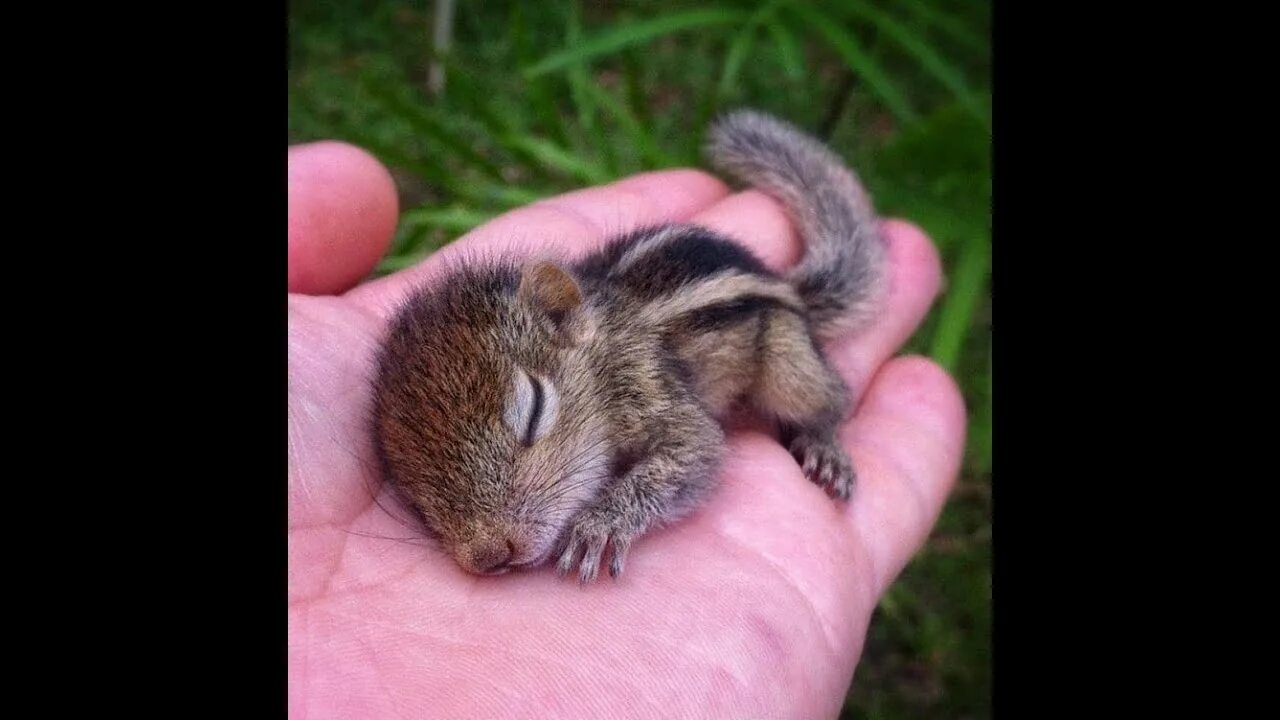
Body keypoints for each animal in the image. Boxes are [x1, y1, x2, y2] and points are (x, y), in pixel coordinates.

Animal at [373, 109, 885, 579]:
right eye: (410, 488)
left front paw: (600, 523)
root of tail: (785, 284)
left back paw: (824, 445)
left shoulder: (650, 390)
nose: (489, 556)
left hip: (787, 361)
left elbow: (696, 453)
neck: (604, 351)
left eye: (534, 411)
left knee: (830, 397)